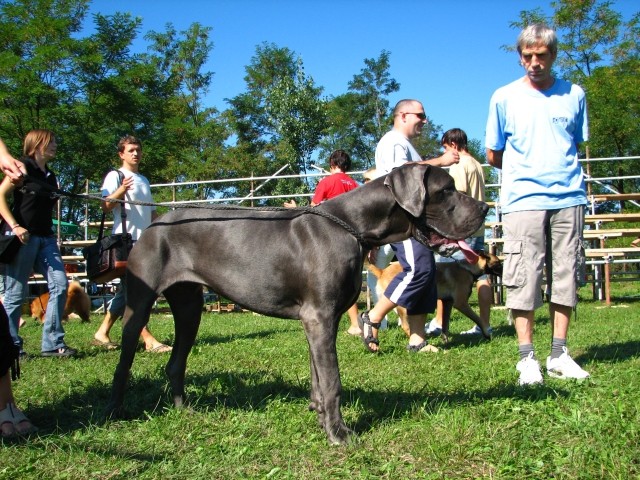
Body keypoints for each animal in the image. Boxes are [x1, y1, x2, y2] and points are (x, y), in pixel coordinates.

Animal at [106, 163, 484, 444]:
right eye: (446, 189)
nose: (484, 207)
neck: (352, 226)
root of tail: (153, 225)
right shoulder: (319, 316)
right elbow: (332, 381)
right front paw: (339, 434)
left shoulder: (322, 320)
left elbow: (319, 378)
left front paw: (321, 418)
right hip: (140, 305)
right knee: (123, 363)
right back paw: (114, 412)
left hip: (189, 309)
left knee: (176, 363)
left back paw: (184, 410)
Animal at [368, 253, 502, 344]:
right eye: (498, 262)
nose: (503, 270)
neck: (468, 269)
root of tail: (382, 272)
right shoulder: (461, 304)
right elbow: (478, 318)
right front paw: (486, 333)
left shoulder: (447, 303)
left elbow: (445, 325)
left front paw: (445, 340)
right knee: (405, 325)